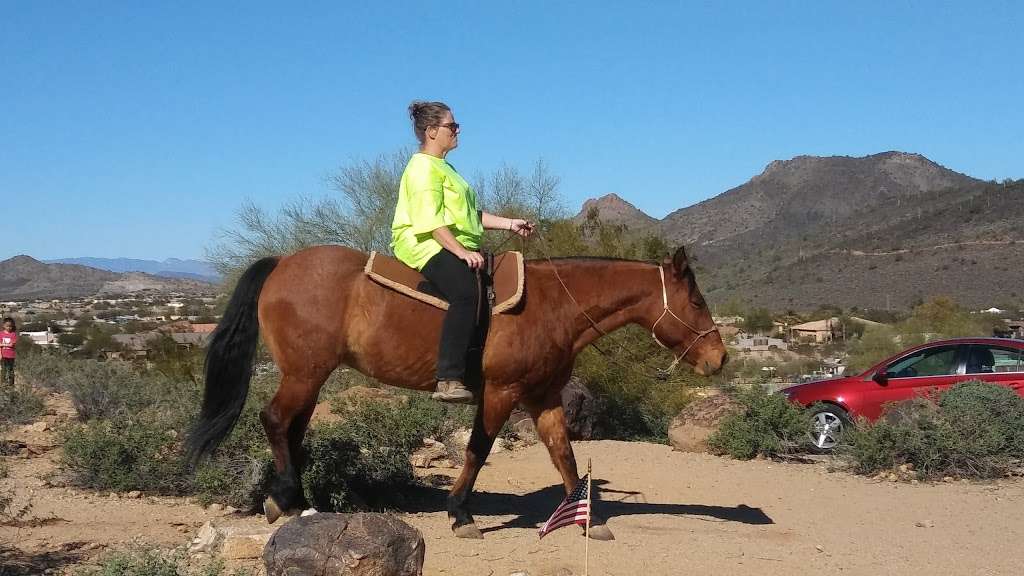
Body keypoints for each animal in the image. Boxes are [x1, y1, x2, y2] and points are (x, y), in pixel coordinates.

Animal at [186, 242, 729, 537]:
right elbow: (477, 449)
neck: (552, 305)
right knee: (276, 421)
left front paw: (588, 519)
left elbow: (564, 453)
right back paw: (288, 498)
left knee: (292, 429)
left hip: (309, 377)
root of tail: (281, 264)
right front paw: (460, 513)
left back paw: (288, 498)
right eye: (698, 301)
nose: (719, 358)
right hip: (304, 373)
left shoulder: (544, 396)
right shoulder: (502, 392)